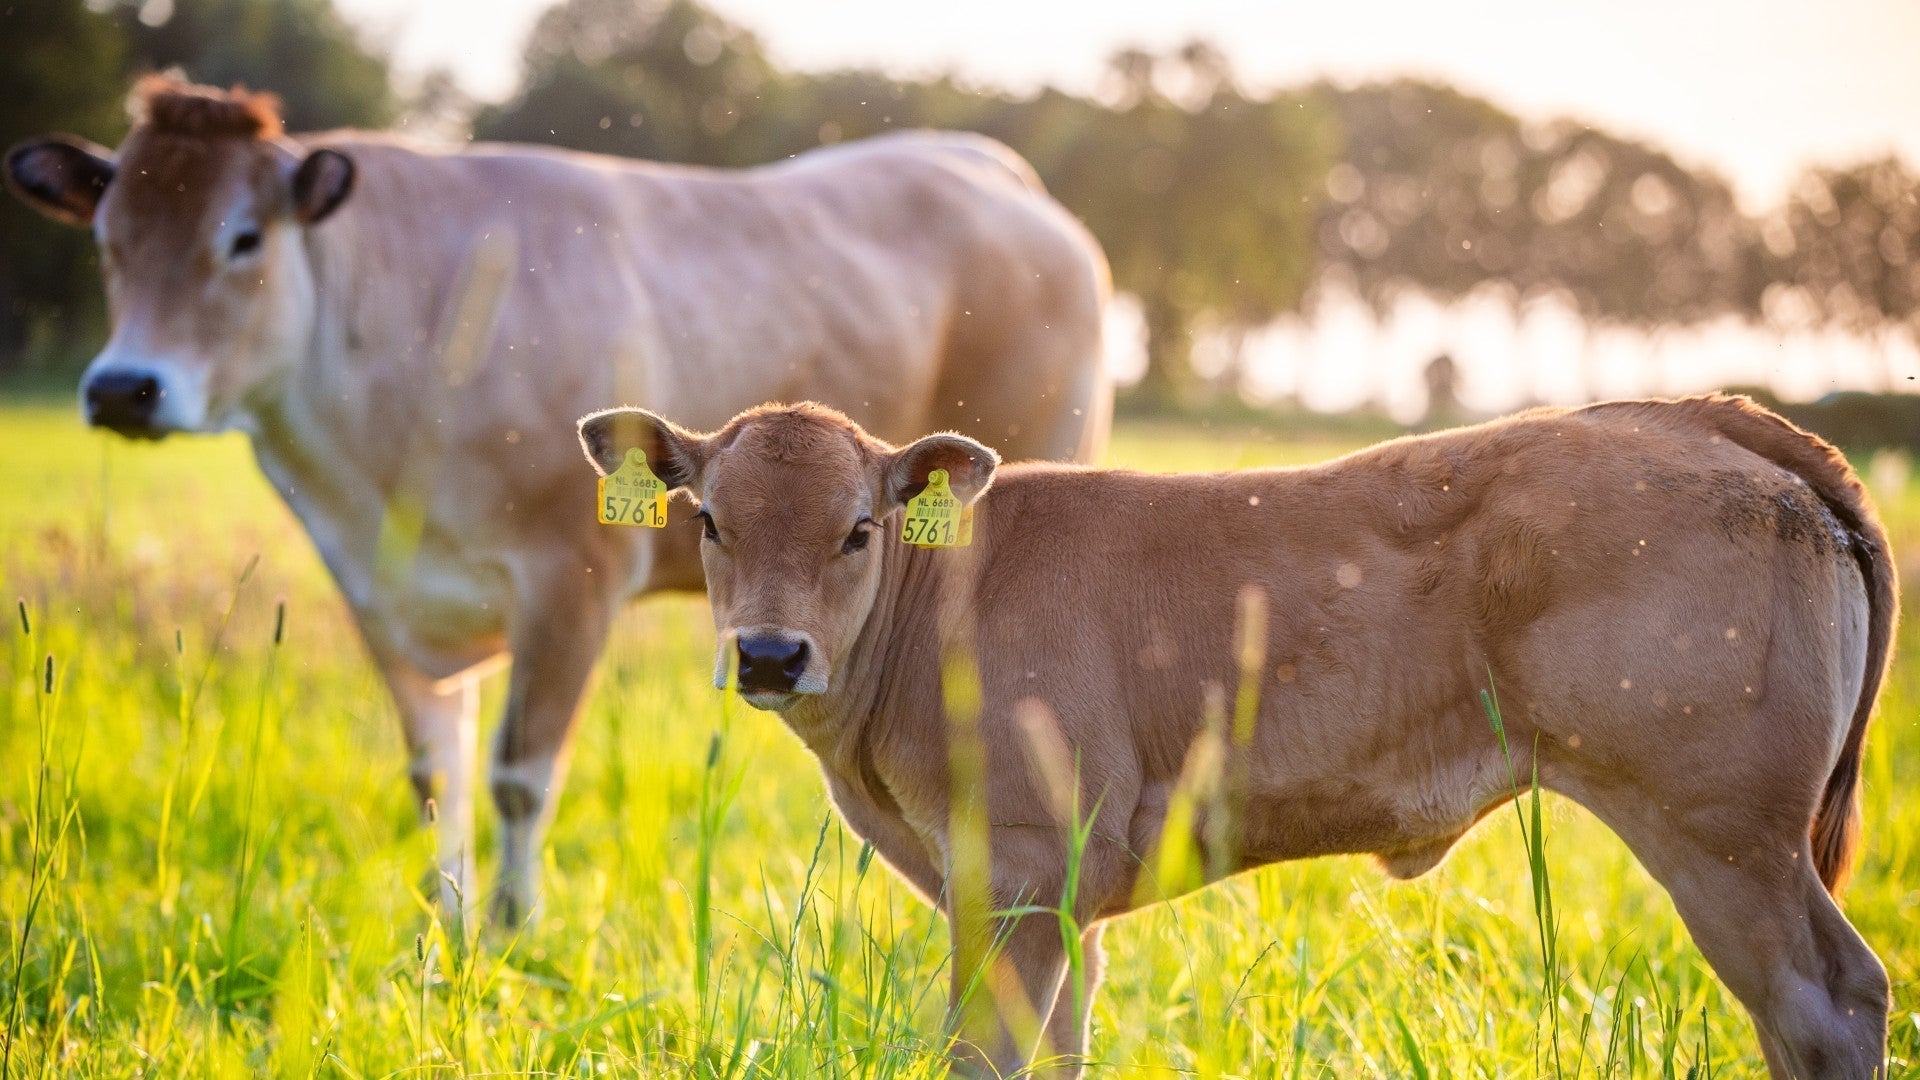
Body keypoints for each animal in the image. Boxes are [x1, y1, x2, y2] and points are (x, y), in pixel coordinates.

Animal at [4, 77, 1112, 921]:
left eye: (243, 239)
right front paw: (440, 931)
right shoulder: (377, 591)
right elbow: (436, 778)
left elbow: (518, 773)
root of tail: (994, 170)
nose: (124, 388)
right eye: (107, 237)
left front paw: (511, 930)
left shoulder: (569, 580)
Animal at [577, 394, 1893, 1078]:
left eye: (858, 528)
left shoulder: (1015, 871)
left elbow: (984, 1056)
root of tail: (1707, 422)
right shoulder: (1058, 903)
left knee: (1827, 1001)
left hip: (1722, 835)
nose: (769, 654)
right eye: (708, 519)